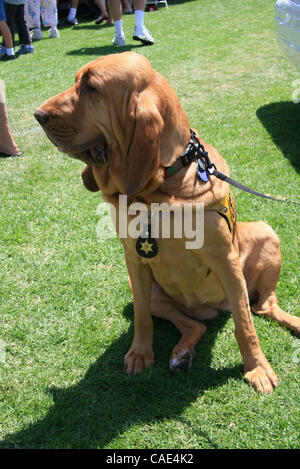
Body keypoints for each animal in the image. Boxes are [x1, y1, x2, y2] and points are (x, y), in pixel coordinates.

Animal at [34, 51, 298, 394]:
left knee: (262, 307)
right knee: (193, 324)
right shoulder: (134, 262)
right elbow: (142, 317)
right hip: (149, 292)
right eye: (77, 80)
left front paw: (258, 368)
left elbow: (245, 325)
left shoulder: (227, 262)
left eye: (92, 87)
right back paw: (182, 353)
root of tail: (210, 309)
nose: (38, 115)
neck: (157, 195)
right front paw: (140, 354)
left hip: (266, 235)